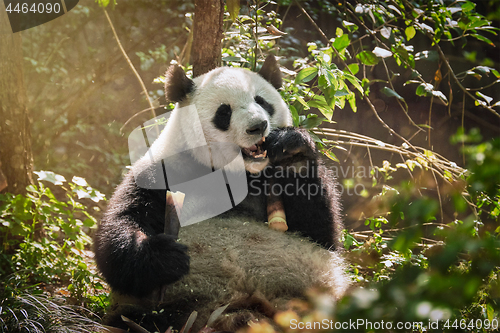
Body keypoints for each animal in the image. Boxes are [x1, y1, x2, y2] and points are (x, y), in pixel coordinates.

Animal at [94, 55, 352, 330]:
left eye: (262, 102)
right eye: (224, 112)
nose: (258, 126)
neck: (236, 172)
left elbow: (321, 233)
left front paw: (292, 150)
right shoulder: (165, 171)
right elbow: (119, 230)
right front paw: (165, 256)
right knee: (136, 318)